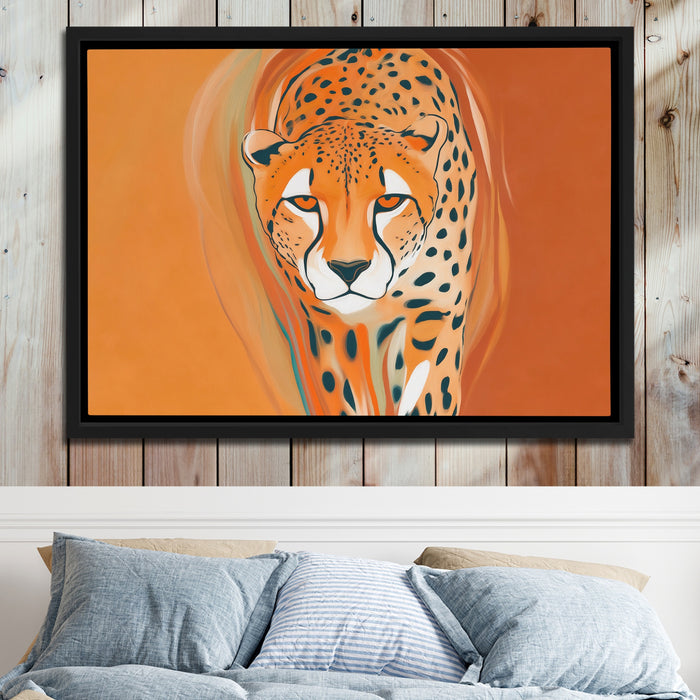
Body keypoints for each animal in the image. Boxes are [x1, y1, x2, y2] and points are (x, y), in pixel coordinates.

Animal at [242, 48, 478, 416]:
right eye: (304, 202)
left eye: (390, 200)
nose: (348, 269)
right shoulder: (331, 324)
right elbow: (347, 397)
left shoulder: (435, 312)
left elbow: (427, 392)